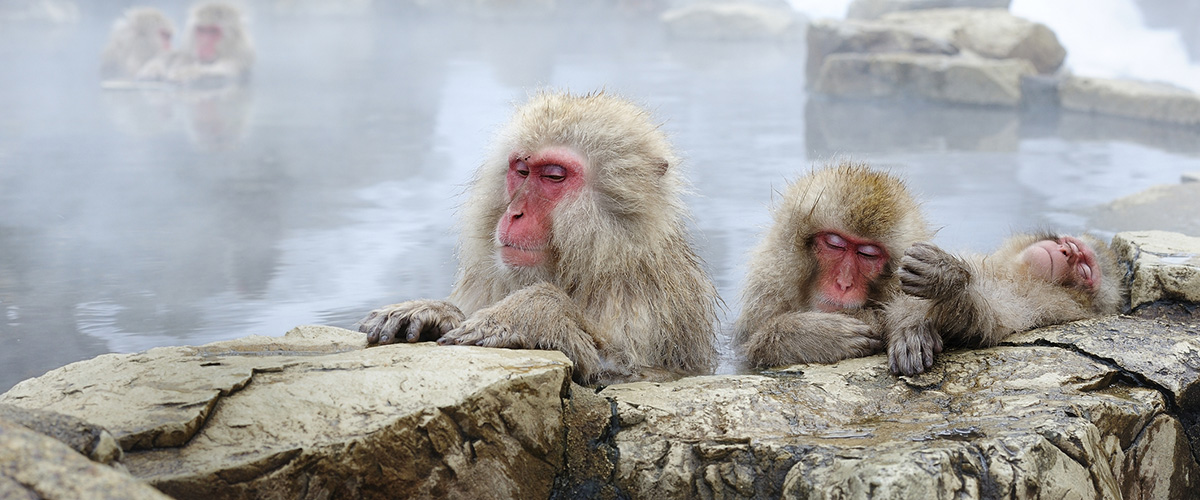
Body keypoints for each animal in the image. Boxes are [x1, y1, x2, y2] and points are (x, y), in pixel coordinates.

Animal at [350, 90, 715, 386]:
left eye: (553, 176)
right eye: (522, 170)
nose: (514, 213)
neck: (594, 263)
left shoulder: (644, 299)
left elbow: (626, 371)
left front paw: (531, 314)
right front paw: (434, 311)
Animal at [729, 161, 936, 369]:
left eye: (867, 254)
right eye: (834, 244)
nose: (844, 283)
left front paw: (908, 321)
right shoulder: (768, 289)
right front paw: (815, 335)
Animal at [883, 231, 1123, 376]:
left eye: (1084, 269)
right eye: (1069, 244)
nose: (1067, 252)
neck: (1017, 273)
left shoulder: (1043, 301)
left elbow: (989, 321)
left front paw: (946, 278)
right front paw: (911, 327)